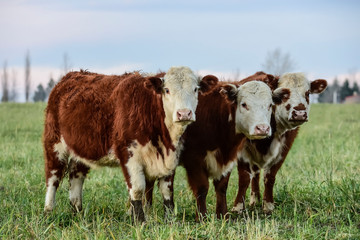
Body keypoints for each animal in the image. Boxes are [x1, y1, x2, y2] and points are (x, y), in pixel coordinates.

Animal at [42, 66, 217, 223]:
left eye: (195, 89)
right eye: (166, 90)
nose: (184, 113)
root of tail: (71, 76)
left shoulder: (171, 156)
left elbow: (167, 191)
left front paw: (170, 221)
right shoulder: (128, 155)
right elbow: (138, 189)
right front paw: (140, 222)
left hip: (82, 148)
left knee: (76, 175)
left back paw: (77, 212)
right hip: (54, 143)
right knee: (53, 176)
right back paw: (48, 212)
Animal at [232, 71, 328, 214]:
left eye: (307, 93)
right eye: (285, 94)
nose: (300, 113)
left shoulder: (283, 150)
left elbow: (270, 177)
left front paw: (268, 205)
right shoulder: (242, 151)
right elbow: (244, 178)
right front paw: (238, 207)